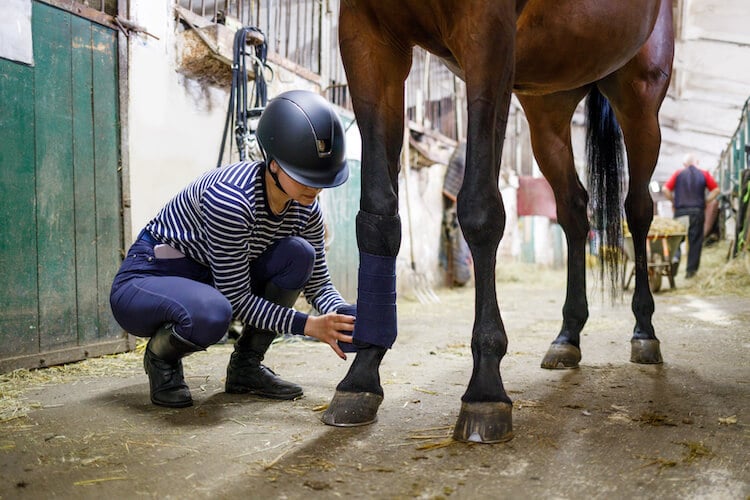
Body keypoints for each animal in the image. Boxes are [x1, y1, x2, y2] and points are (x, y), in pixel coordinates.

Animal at [322, 0, 676, 446]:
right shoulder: (368, 35)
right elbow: (378, 216)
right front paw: (361, 375)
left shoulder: (487, 35)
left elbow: (481, 210)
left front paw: (485, 389)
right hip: (549, 106)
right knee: (574, 211)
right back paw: (567, 337)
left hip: (639, 98)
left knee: (639, 209)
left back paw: (644, 332)